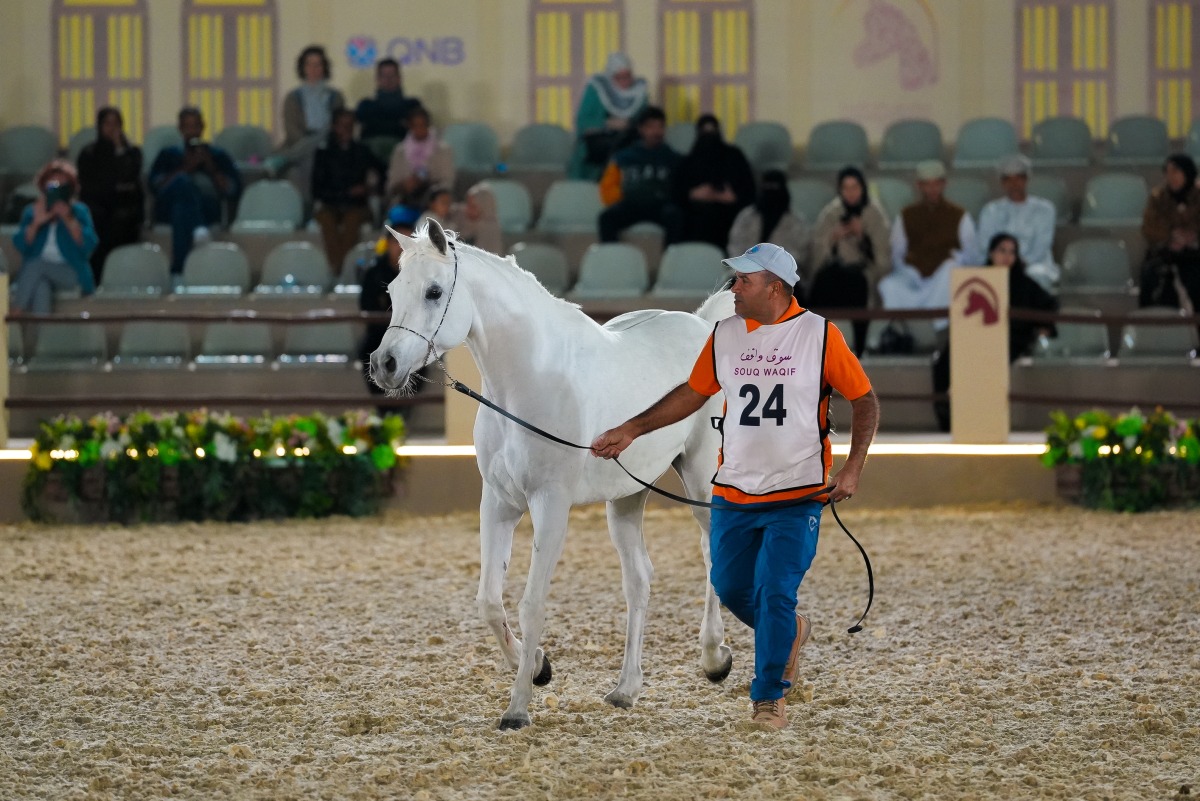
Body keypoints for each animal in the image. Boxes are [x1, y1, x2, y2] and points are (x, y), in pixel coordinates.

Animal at [370, 218, 734, 730]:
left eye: (434, 291)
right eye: (391, 290)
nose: (384, 365)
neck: (528, 381)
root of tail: (703, 324)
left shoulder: (550, 505)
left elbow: (532, 603)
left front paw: (518, 707)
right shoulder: (498, 503)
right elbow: (489, 601)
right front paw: (540, 667)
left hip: (701, 478)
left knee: (711, 553)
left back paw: (714, 659)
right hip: (626, 498)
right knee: (639, 580)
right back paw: (626, 688)